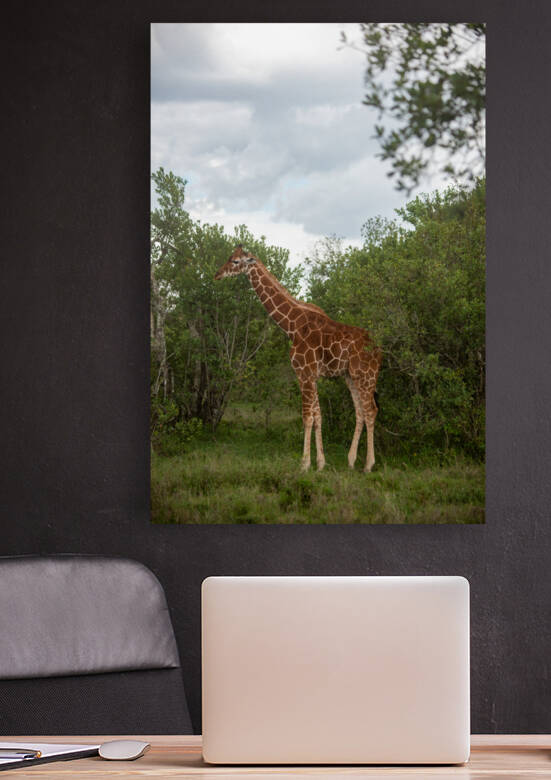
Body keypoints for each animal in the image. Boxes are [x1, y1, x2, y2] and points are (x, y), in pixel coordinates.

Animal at [214, 245, 382, 472]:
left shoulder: (303, 373)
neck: (292, 326)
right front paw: (320, 463)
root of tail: (379, 349)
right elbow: (318, 416)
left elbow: (307, 417)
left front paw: (304, 464)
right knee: (361, 412)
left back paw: (368, 465)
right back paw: (351, 461)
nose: (217, 274)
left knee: (371, 411)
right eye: (230, 258)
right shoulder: (312, 375)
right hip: (351, 376)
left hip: (366, 375)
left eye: (235, 261)